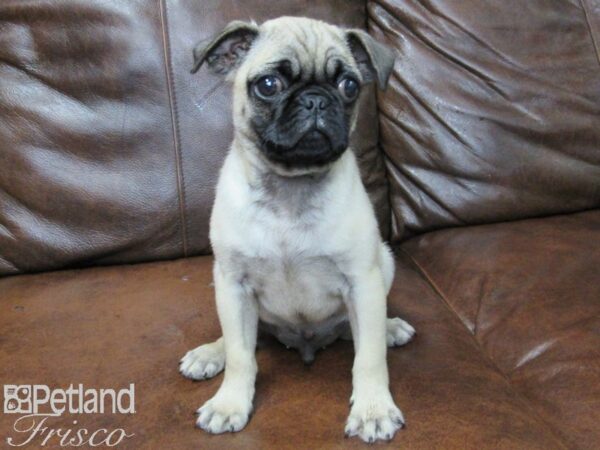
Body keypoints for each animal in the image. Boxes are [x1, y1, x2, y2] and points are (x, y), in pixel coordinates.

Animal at [180, 16, 414, 442]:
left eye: (349, 86)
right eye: (269, 85)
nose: (316, 99)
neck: (291, 186)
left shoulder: (363, 283)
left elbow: (369, 358)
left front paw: (372, 408)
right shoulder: (233, 285)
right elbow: (241, 357)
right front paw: (230, 403)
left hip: (383, 266)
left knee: (358, 334)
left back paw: (389, 328)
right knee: (242, 339)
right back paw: (211, 352)